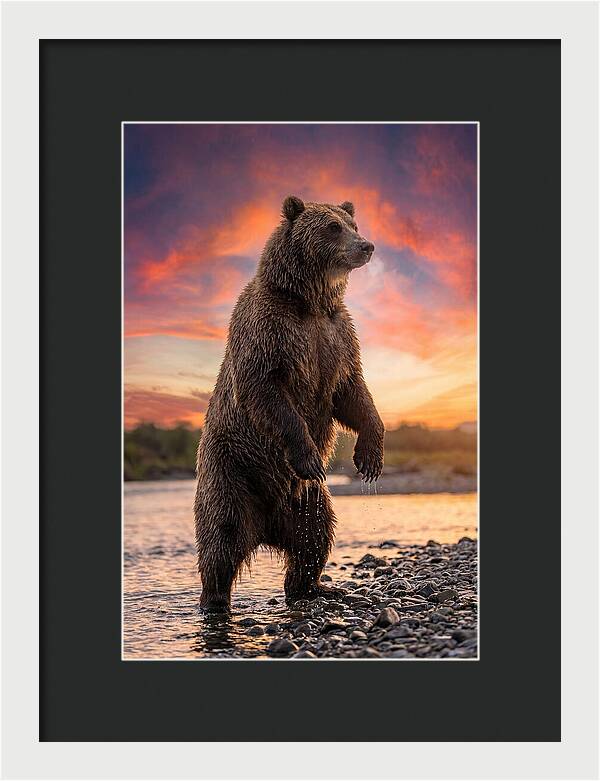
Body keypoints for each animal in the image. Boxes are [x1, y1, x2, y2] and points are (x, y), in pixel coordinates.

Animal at [194, 196, 384, 611]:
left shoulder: (336, 336)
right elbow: (266, 391)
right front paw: (310, 456)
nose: (366, 246)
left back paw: (314, 586)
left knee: (315, 535)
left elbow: (352, 393)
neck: (309, 301)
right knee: (221, 538)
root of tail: (265, 527)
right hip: (231, 472)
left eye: (353, 224)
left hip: (306, 500)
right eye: (332, 227)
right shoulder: (270, 331)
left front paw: (370, 458)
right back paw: (214, 600)